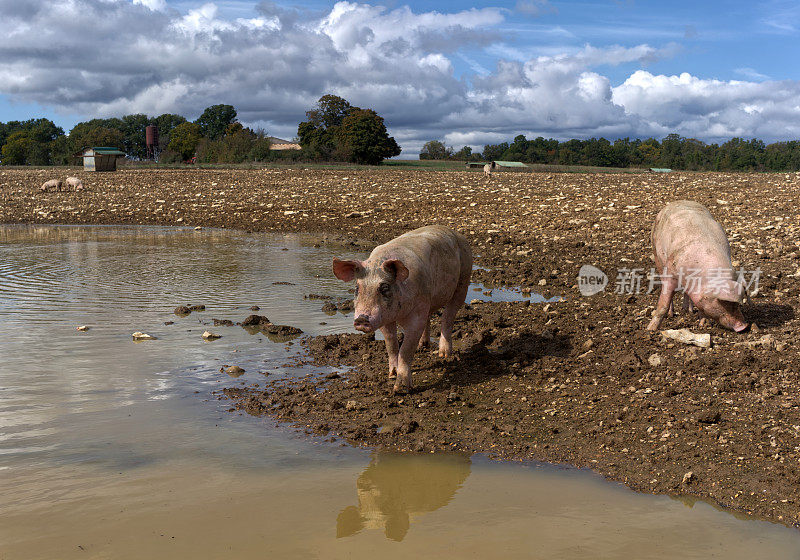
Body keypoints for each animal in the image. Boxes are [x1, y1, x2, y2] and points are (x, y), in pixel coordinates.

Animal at [332, 225, 472, 392]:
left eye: (384, 287)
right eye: (357, 288)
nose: (361, 319)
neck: (398, 314)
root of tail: (456, 233)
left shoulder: (416, 315)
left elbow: (405, 350)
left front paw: (400, 389)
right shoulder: (384, 318)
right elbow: (391, 343)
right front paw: (392, 374)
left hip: (464, 279)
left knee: (448, 316)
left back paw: (444, 355)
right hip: (431, 299)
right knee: (430, 317)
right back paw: (423, 346)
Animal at [644, 201, 752, 332]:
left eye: (737, 304)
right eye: (723, 302)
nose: (744, 326)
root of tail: (676, 202)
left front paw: (702, 324)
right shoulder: (670, 270)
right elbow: (663, 305)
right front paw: (650, 330)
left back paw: (688, 310)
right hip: (656, 252)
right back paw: (672, 313)